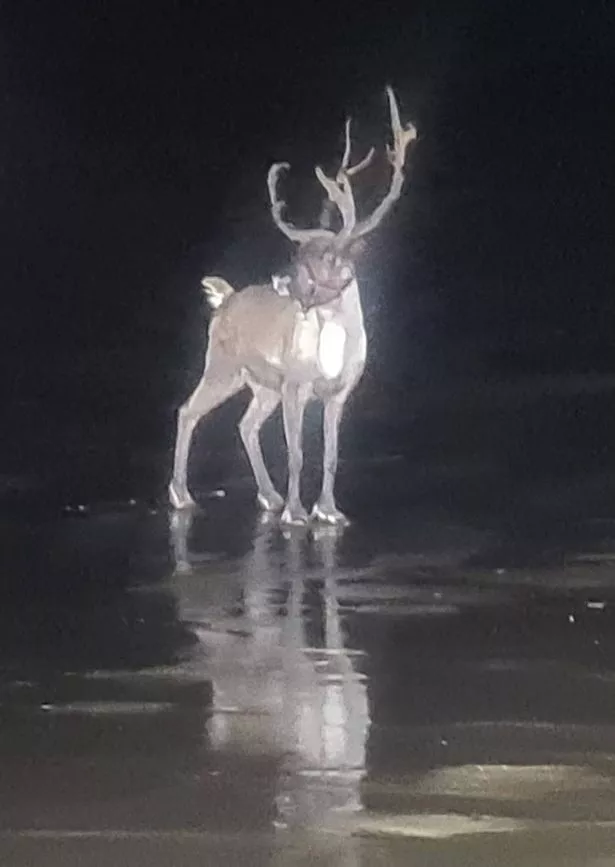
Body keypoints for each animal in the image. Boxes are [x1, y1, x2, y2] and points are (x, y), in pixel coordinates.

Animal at [168, 86, 417, 526]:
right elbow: (297, 453)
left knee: (245, 424)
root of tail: (225, 298)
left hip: (260, 384)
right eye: (297, 254)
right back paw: (182, 495)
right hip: (223, 366)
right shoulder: (295, 385)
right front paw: (297, 512)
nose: (282, 280)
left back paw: (268, 496)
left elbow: (332, 455)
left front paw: (329, 510)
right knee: (187, 411)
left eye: (327, 258)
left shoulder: (338, 393)